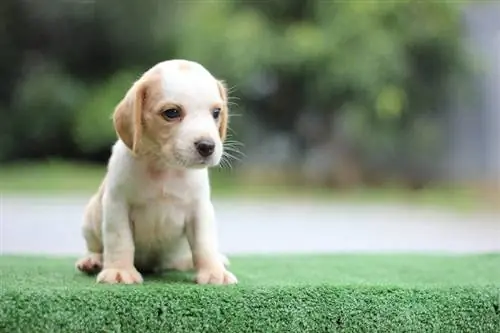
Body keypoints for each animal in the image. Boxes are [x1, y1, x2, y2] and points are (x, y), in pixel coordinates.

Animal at [75, 59, 237, 282]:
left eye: (216, 113)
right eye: (171, 112)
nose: (207, 146)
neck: (163, 167)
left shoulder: (200, 210)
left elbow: (204, 245)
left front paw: (214, 272)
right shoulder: (117, 205)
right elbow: (120, 241)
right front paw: (119, 271)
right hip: (90, 220)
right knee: (95, 247)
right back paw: (92, 260)